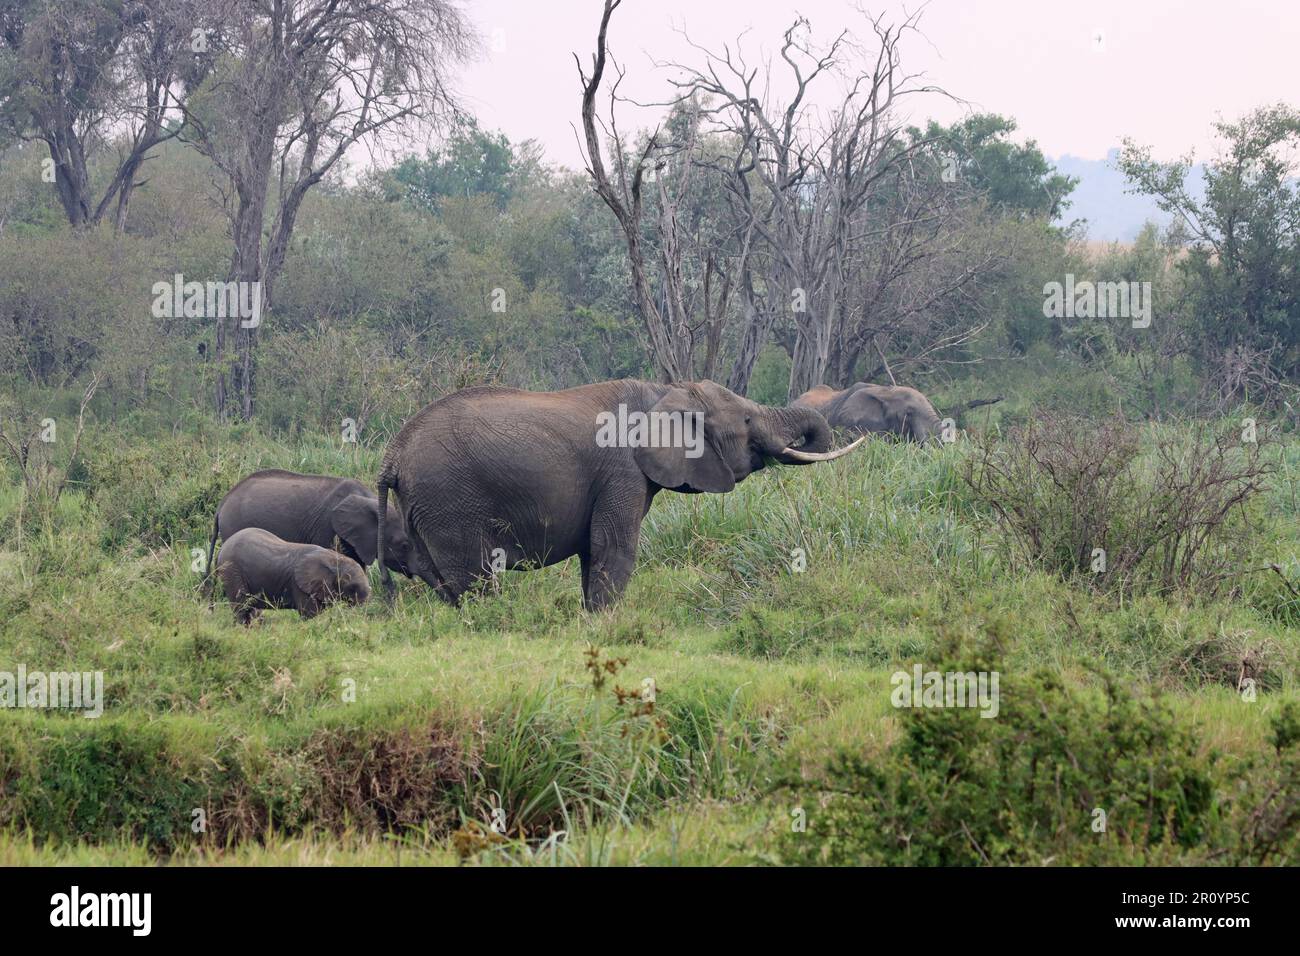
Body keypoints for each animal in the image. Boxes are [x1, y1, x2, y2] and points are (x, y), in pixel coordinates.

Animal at [215, 528, 370, 625]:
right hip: (231, 570)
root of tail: (222, 547)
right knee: (241, 606)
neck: (334, 559)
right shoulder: (300, 586)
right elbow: (310, 614)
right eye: (352, 587)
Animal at [375, 378, 862, 611]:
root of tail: (393, 455)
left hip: (423, 505)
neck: (665, 389)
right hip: (450, 499)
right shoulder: (621, 470)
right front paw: (602, 623)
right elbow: (614, 546)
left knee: (439, 577)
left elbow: (595, 551)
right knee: (473, 578)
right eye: (745, 420)